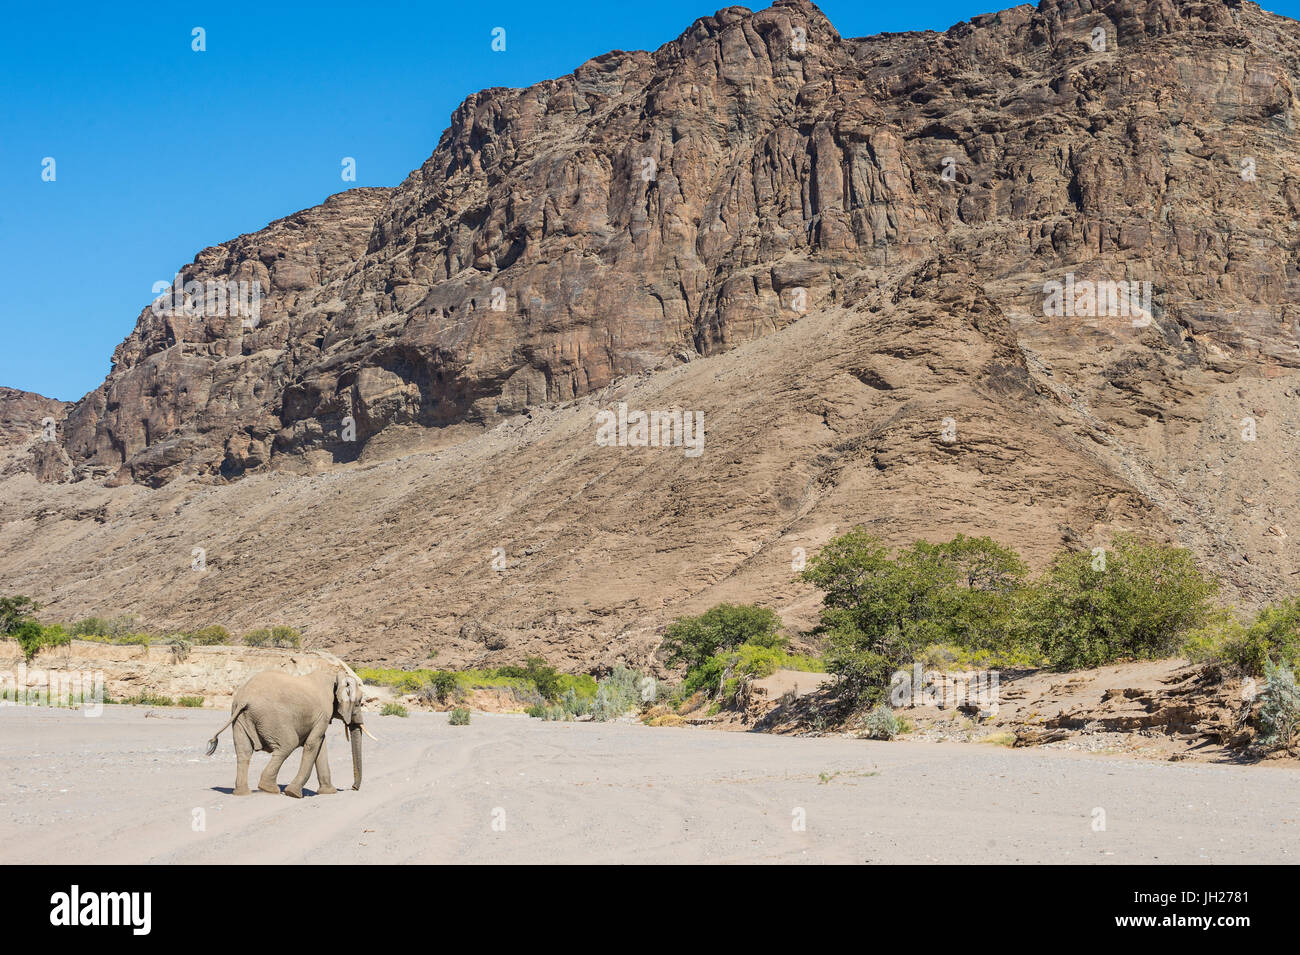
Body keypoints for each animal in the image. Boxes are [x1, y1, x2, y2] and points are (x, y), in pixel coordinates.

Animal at [205, 665, 374, 800]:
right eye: (359, 703)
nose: (353, 788)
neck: (334, 677)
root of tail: (244, 698)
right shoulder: (323, 713)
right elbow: (313, 744)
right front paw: (294, 794)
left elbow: (320, 745)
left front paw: (329, 792)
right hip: (272, 717)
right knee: (287, 744)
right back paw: (269, 789)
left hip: (240, 718)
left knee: (244, 752)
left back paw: (242, 793)